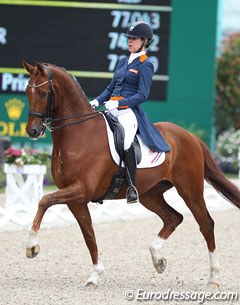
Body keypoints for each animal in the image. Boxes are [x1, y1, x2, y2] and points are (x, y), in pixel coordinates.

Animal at [22, 61, 238, 288]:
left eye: (43, 93)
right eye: (27, 91)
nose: (32, 131)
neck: (79, 133)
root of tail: (191, 137)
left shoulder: (82, 190)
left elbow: (45, 201)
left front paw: (32, 247)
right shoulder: (76, 199)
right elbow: (88, 234)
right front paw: (95, 275)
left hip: (190, 190)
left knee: (206, 224)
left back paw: (213, 278)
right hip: (150, 193)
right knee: (173, 218)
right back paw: (158, 260)